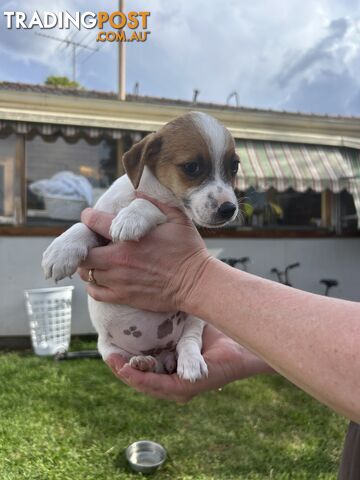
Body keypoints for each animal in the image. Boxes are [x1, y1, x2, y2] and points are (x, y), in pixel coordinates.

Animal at [42, 112, 239, 382]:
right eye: (192, 167)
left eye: (234, 166)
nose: (229, 209)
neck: (150, 190)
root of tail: (160, 352)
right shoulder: (101, 220)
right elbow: (82, 226)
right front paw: (61, 250)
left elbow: (149, 206)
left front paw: (131, 217)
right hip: (108, 347)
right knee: (148, 363)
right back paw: (143, 362)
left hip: (194, 318)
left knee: (188, 341)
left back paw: (189, 362)